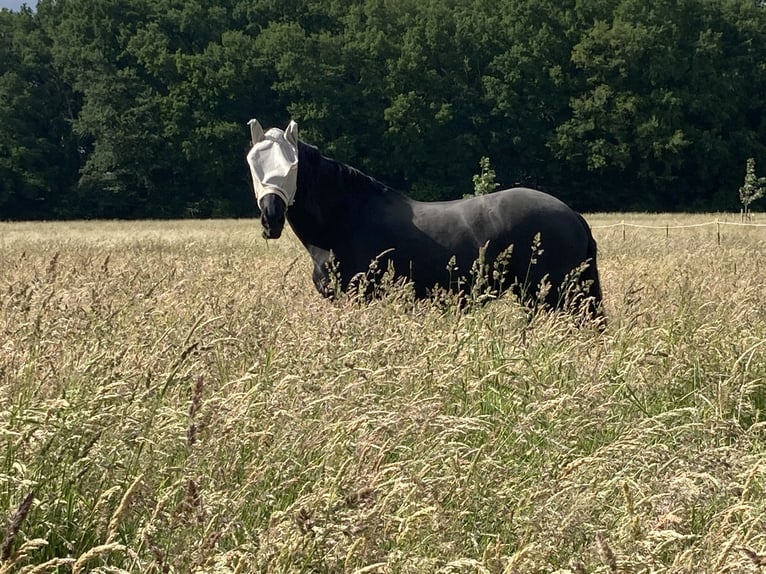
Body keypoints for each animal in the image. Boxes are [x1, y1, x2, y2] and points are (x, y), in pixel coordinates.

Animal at [246, 119, 604, 322]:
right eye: (252, 163)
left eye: (292, 166)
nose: (271, 218)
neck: (345, 219)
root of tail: (572, 216)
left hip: (552, 297)